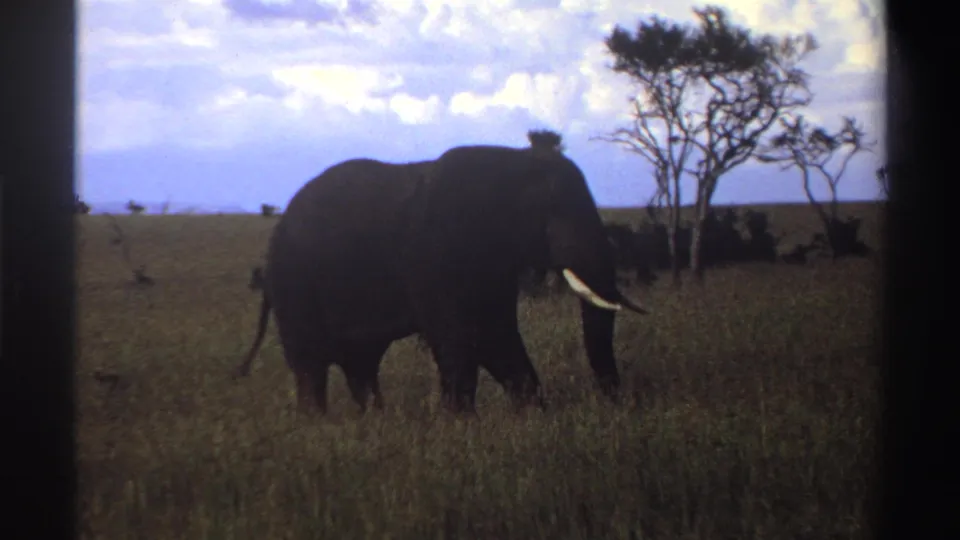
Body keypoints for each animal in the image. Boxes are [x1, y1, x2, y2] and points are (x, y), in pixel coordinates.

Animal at [233, 144, 649, 415]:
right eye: (551, 211)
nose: (618, 403)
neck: (512, 162)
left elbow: (496, 336)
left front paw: (532, 416)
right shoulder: (435, 253)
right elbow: (462, 337)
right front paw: (460, 426)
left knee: (360, 365)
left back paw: (374, 421)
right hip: (294, 284)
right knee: (311, 367)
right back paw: (320, 426)